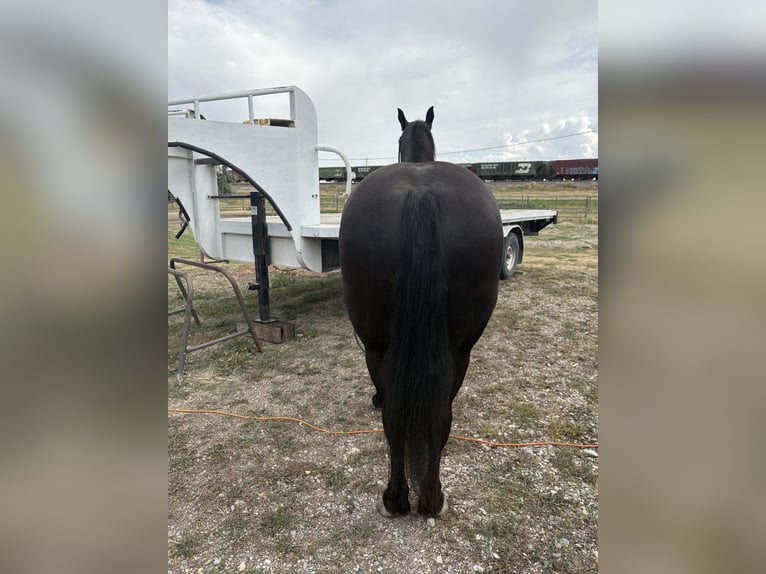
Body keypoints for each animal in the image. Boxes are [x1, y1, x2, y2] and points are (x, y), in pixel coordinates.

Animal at [338, 106, 503, 517]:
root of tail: (420, 193)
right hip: (457, 350)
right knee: (433, 417)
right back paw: (422, 499)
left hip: (379, 348)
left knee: (400, 417)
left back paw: (402, 500)